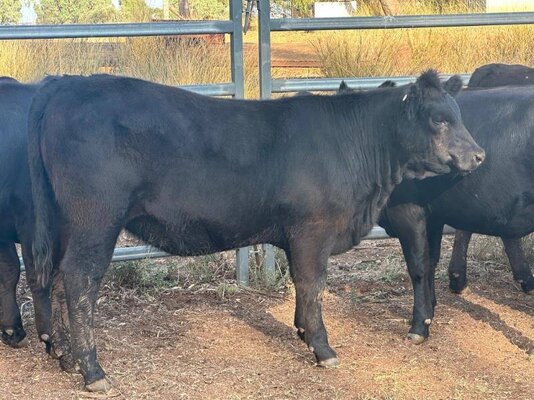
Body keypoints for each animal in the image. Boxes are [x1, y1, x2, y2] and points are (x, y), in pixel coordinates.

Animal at [27, 71, 484, 390]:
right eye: (439, 120)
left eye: (460, 116)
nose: (479, 155)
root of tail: (67, 84)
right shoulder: (313, 231)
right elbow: (312, 283)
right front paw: (323, 348)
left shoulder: (296, 235)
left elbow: (302, 286)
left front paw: (302, 332)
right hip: (96, 220)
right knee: (79, 280)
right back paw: (92, 370)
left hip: (66, 224)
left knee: (55, 278)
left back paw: (65, 355)